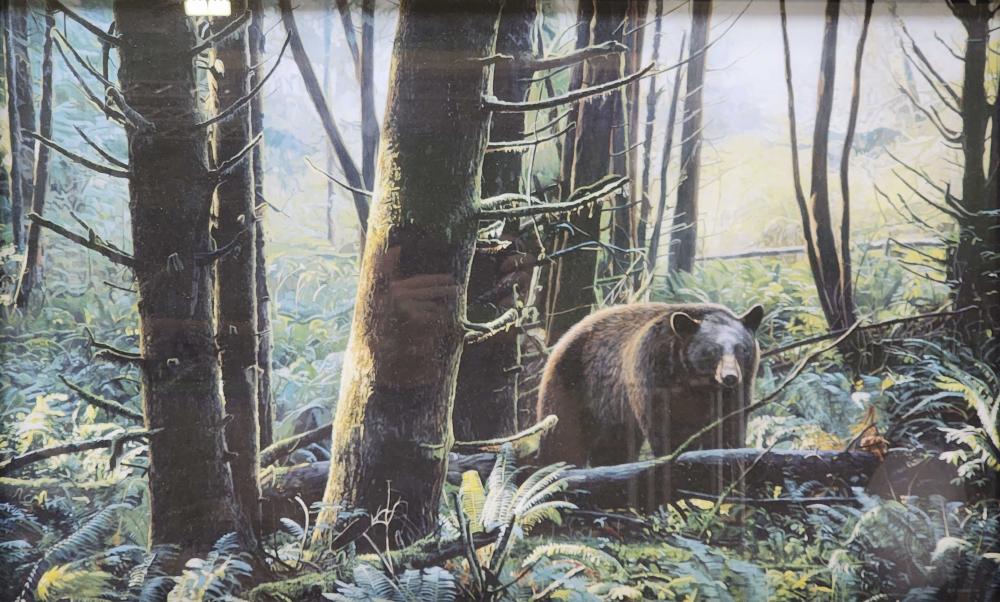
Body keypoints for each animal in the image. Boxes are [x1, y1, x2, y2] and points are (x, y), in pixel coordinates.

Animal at [535, 302, 764, 474]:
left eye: (742, 349)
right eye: (711, 351)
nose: (730, 377)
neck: (694, 381)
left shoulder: (733, 392)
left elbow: (729, 422)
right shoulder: (653, 371)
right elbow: (663, 421)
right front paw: (675, 454)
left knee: (612, 444)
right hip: (572, 384)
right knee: (562, 437)